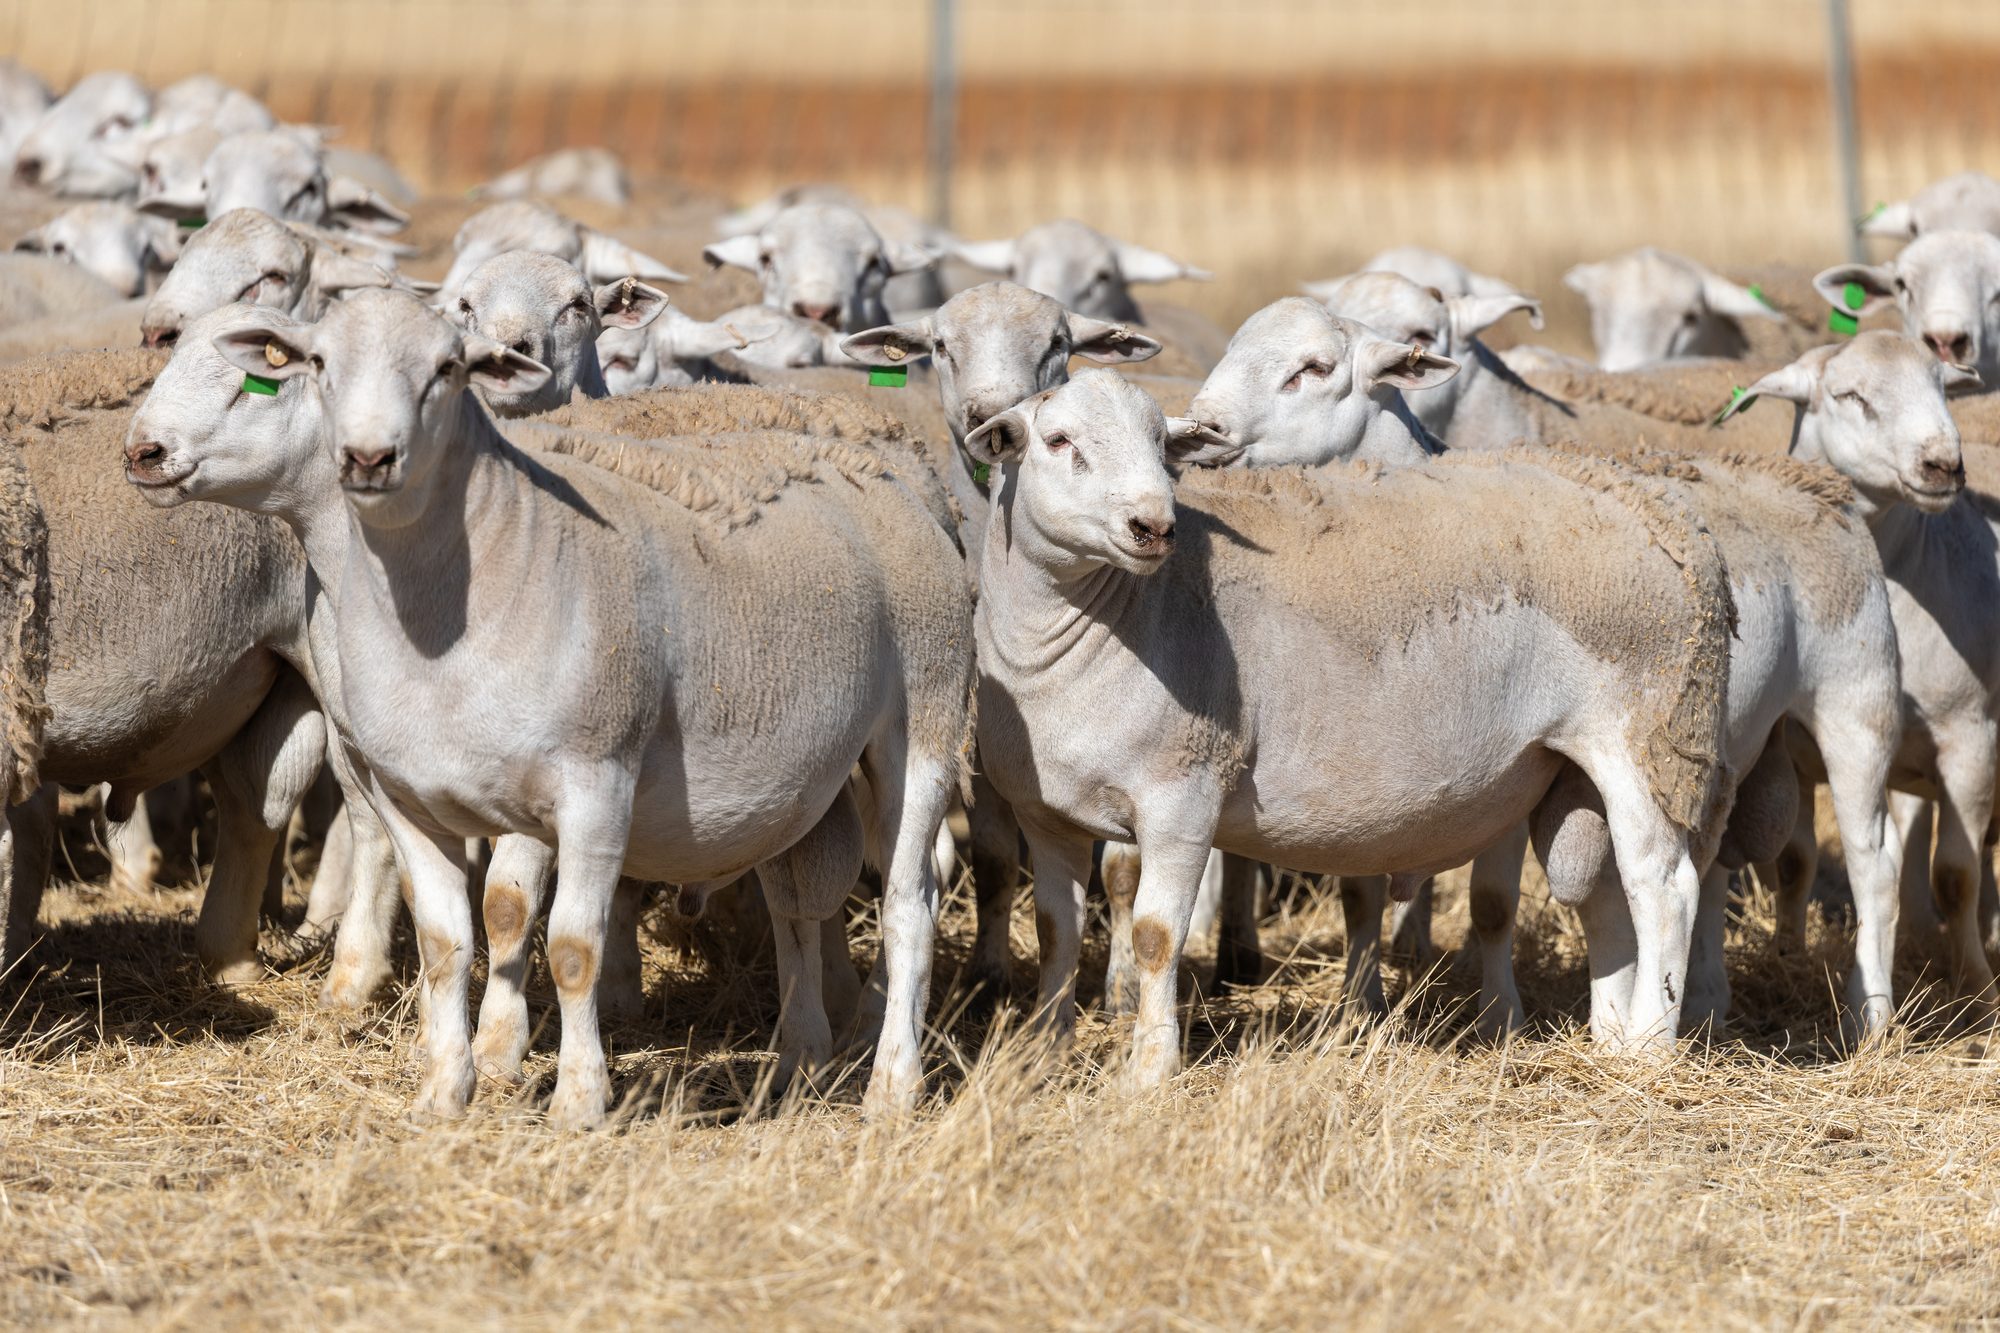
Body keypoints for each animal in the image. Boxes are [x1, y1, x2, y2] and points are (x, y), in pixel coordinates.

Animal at [207, 289, 974, 1126]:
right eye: (318, 362)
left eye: (449, 367)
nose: (369, 458)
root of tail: (887, 476)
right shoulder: (407, 798)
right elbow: (445, 944)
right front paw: (444, 1094)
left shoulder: (596, 781)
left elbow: (574, 947)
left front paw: (578, 1098)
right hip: (806, 778)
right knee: (797, 899)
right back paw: (800, 1062)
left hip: (926, 718)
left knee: (909, 904)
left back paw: (894, 1084)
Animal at [966, 369, 1732, 1081]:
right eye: (1057, 441)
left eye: (1162, 446)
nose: (1154, 528)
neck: (1105, 619)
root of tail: (1657, 509)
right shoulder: (1045, 815)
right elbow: (1056, 930)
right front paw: (1042, 1054)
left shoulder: (1182, 796)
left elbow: (1156, 936)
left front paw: (1151, 1071)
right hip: (1568, 771)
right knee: (1607, 895)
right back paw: (1611, 1043)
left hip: (1646, 736)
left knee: (1661, 885)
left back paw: (1650, 1051)